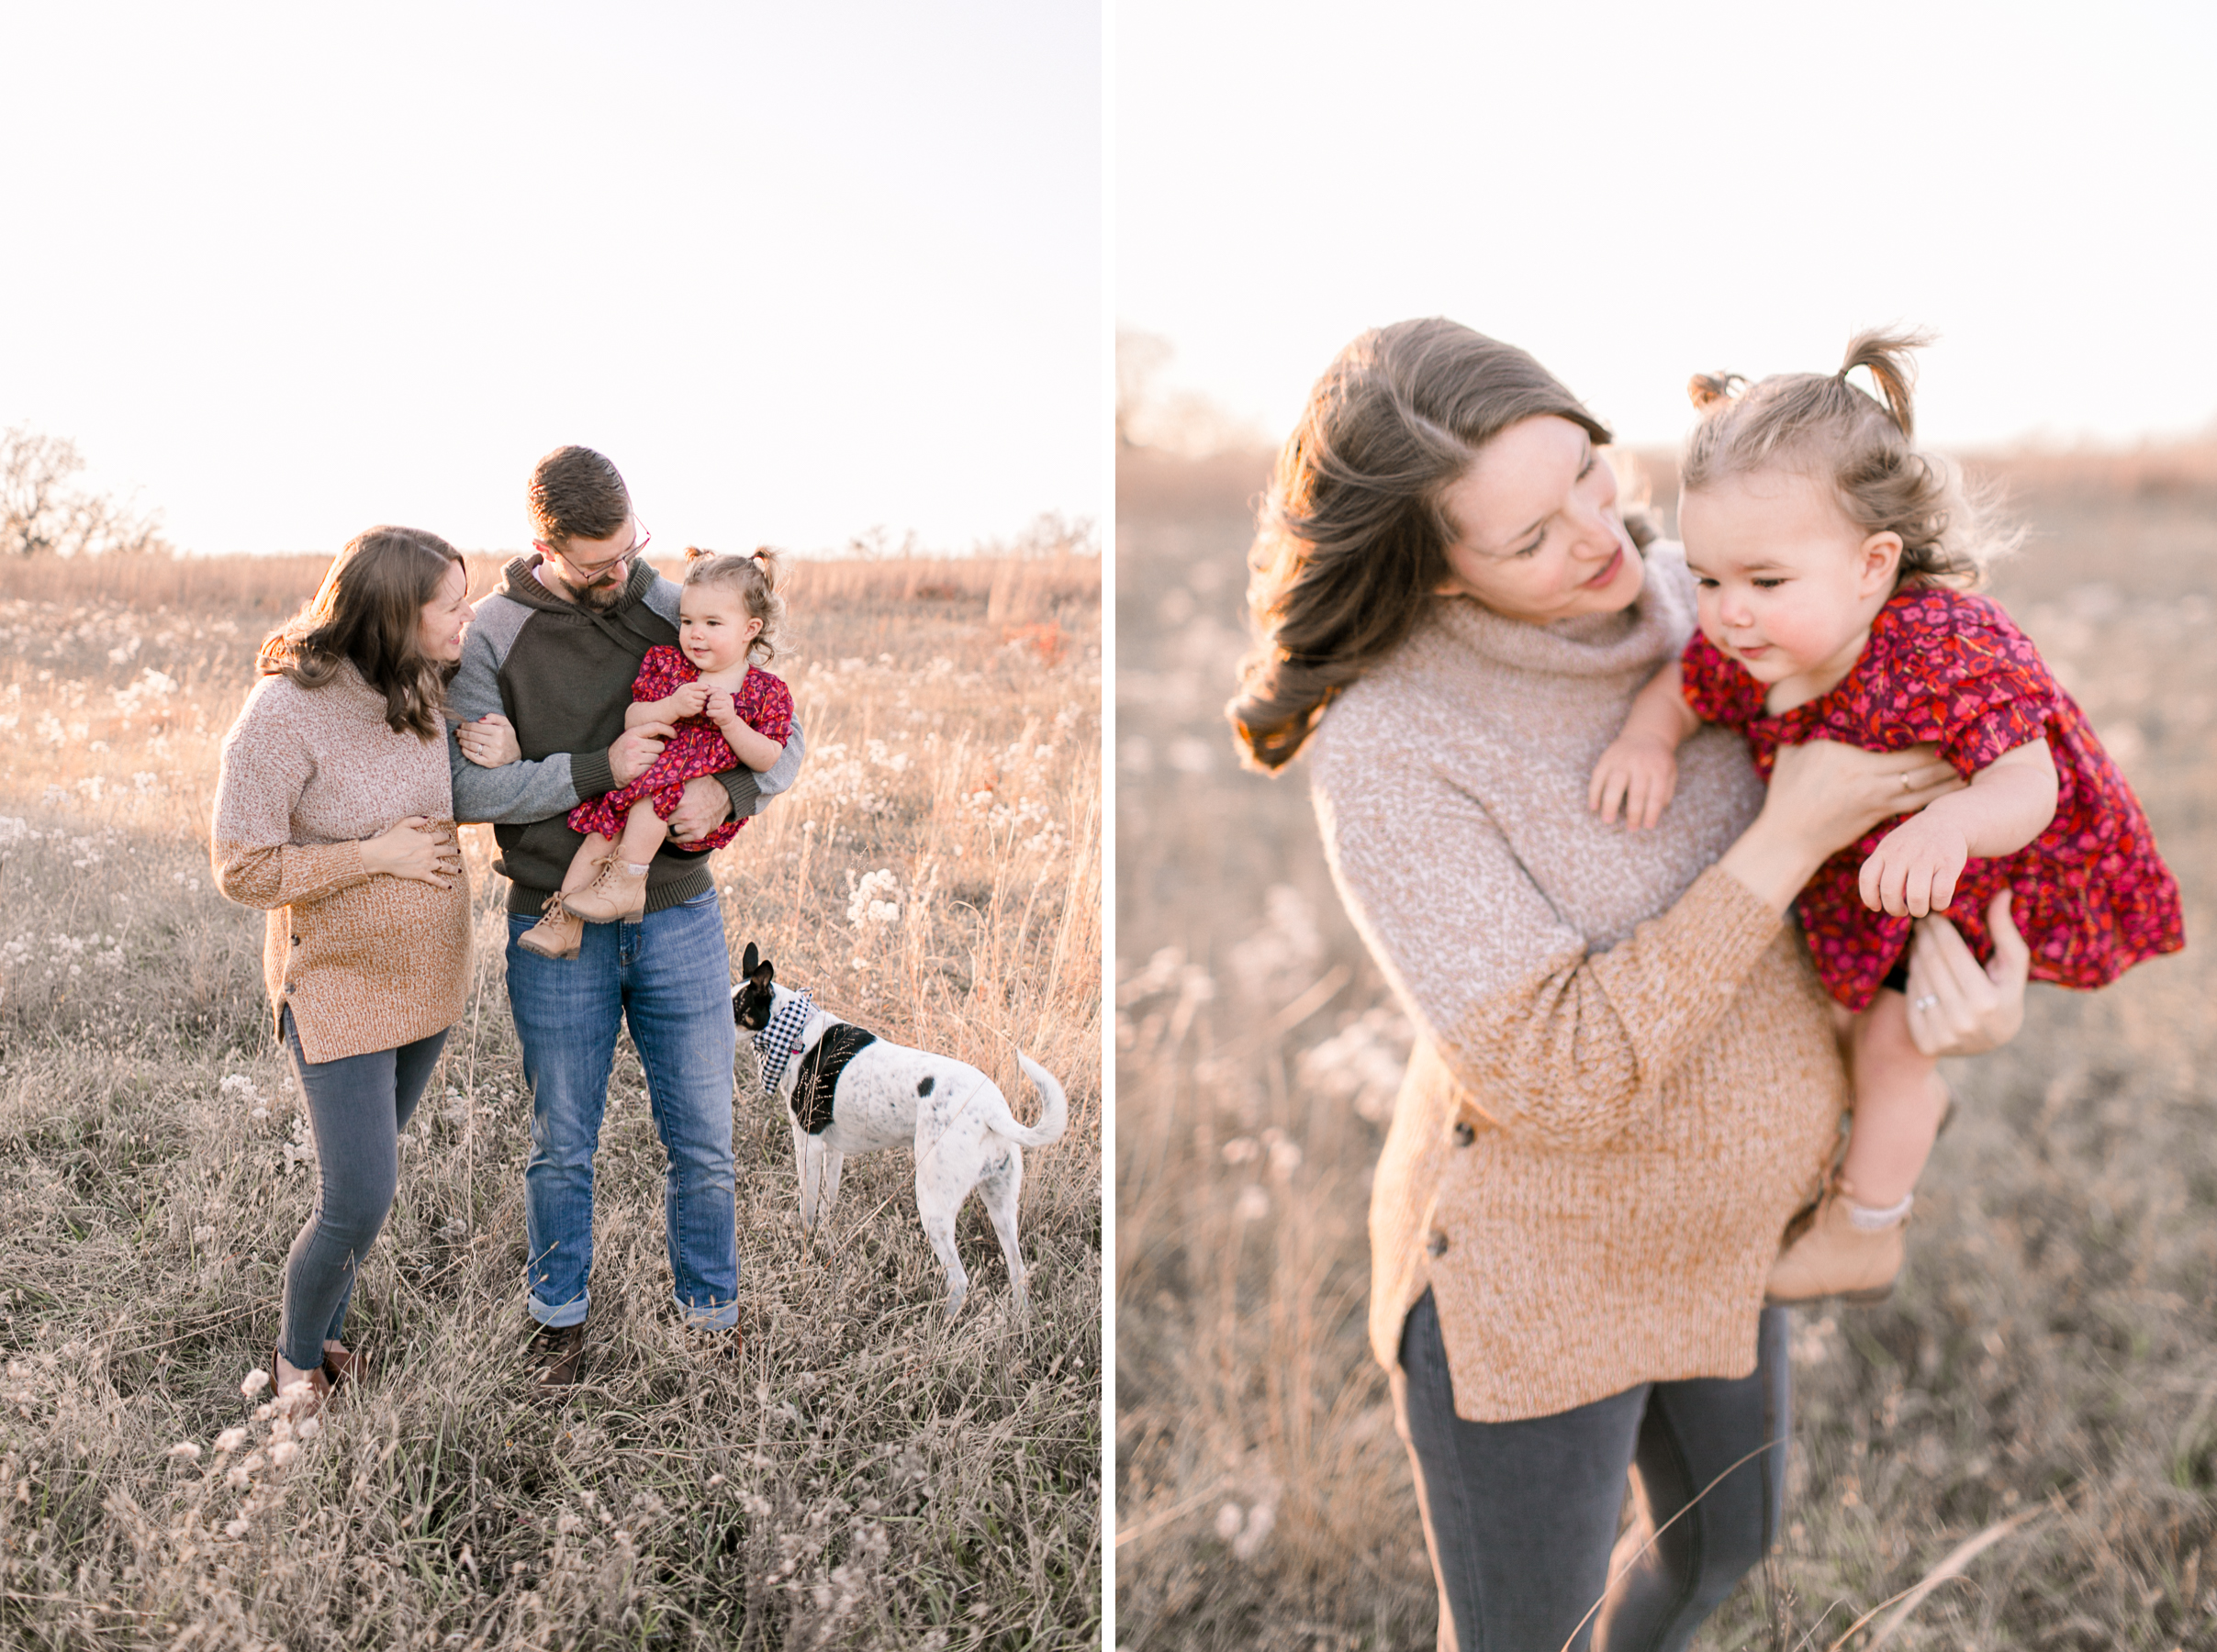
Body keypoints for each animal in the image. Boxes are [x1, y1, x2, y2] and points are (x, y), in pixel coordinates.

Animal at [731, 940, 1069, 1312]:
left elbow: (808, 1206)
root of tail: (992, 1112)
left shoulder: (808, 1142)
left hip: (934, 1205)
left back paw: (942, 1323)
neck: (793, 1029)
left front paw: (806, 1246)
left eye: (735, 1008)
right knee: (1018, 1270)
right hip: (1001, 1203)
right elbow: (828, 1203)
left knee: (960, 1280)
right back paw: (1019, 1319)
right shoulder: (832, 1148)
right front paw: (829, 1243)